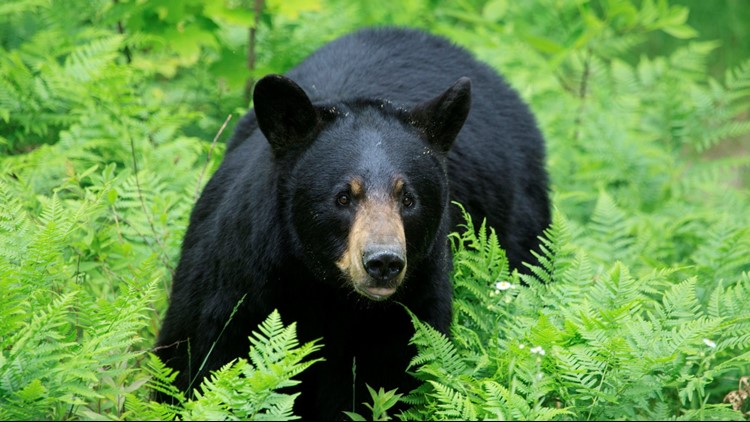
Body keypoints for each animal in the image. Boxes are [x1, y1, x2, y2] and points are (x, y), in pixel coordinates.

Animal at [154, 27, 549, 420]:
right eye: (343, 197)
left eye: (408, 199)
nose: (383, 262)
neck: (328, 294)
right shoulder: (235, 282)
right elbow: (197, 360)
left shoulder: (412, 311)